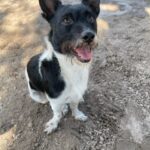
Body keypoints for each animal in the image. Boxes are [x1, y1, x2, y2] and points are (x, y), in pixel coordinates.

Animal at [25, 0, 100, 134]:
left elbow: (74, 106)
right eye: (66, 20)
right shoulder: (54, 100)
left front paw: (77, 114)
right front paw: (54, 123)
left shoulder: (76, 93)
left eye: (91, 18)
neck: (71, 67)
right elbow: (57, 113)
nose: (89, 36)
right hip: (36, 95)